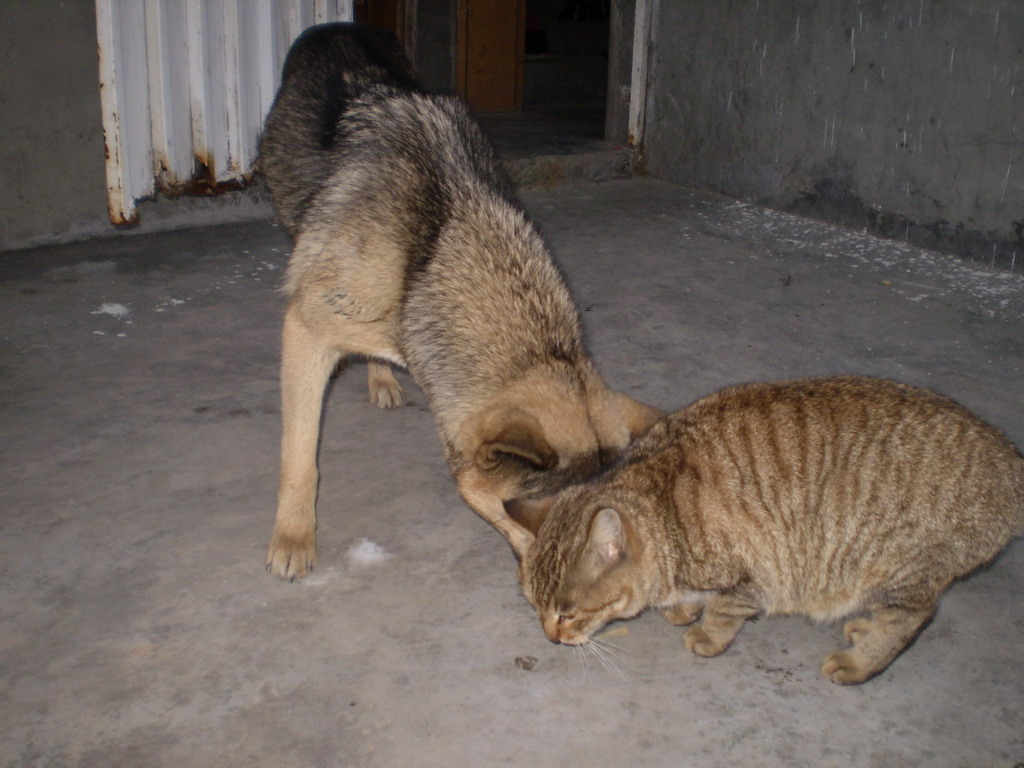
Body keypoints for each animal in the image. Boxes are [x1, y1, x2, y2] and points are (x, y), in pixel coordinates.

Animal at [260, 20, 659, 581]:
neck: (431, 252)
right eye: (539, 517)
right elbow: (300, 457)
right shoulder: (305, 330)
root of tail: (337, 25)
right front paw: (293, 537)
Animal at [505, 376, 1024, 684]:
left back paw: (860, 662)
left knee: (910, 619)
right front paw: (683, 607)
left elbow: (725, 610)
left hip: (897, 567)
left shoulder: (757, 574)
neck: (663, 505)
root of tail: (1010, 460)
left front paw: (705, 632)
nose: (550, 638)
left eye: (568, 615)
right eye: (536, 608)